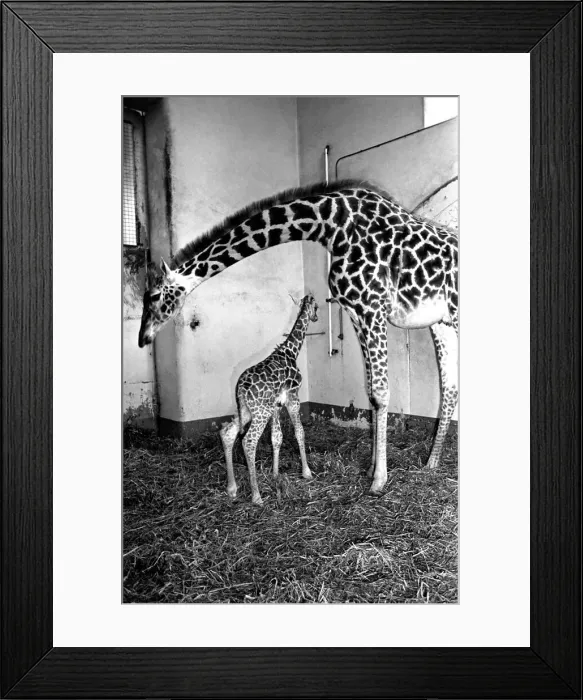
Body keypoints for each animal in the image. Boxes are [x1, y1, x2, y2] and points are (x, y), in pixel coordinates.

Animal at [219, 294, 318, 505]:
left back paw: (232, 488)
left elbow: (276, 438)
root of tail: (241, 388)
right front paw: (306, 472)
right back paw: (256, 496)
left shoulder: (276, 405)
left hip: (247, 410)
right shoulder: (293, 398)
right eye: (317, 307)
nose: (315, 317)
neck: (291, 350)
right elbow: (299, 432)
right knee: (248, 441)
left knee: (228, 432)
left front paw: (275, 474)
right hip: (260, 412)